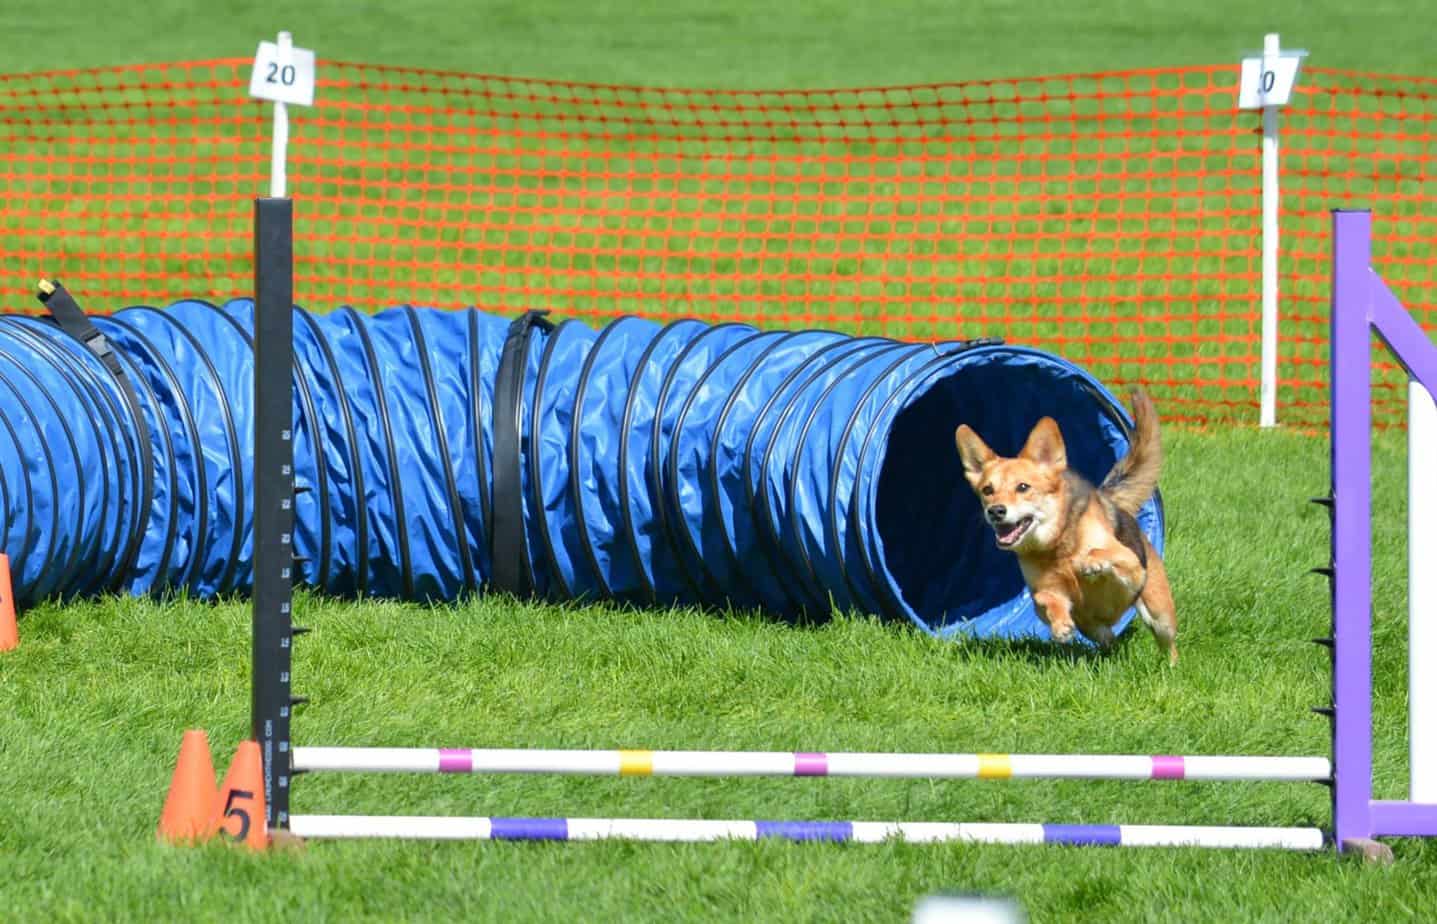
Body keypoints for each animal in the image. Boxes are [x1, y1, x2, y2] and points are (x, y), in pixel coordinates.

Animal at [954, 390, 1178, 663]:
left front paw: (1091, 562)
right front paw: (1061, 625)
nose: (996, 511)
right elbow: (1048, 598)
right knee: (1105, 637)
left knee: (1169, 645)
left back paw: (1170, 666)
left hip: (1161, 616)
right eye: (987, 490)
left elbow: (1106, 555)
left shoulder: (1133, 570)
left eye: (1023, 487)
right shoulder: (1042, 594)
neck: (1056, 547)